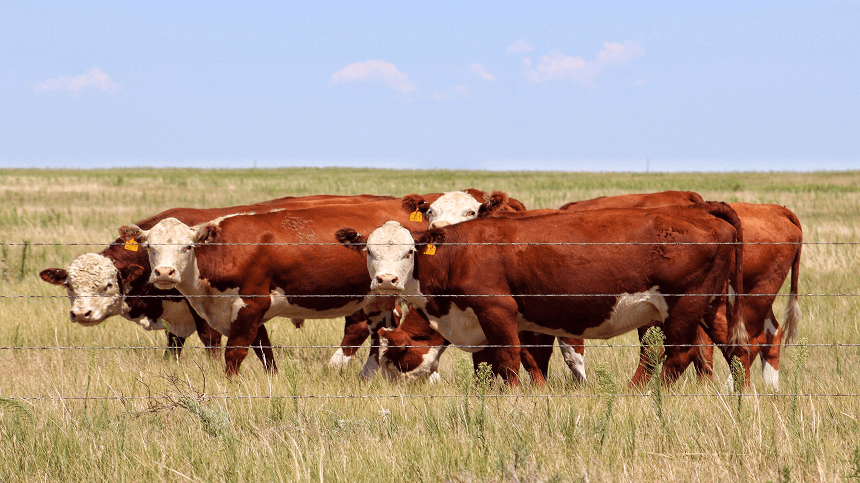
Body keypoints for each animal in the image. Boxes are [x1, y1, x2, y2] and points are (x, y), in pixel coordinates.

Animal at [336, 202, 744, 388]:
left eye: (409, 252)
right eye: (368, 251)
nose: (386, 280)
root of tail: (698, 208)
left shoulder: (496, 309)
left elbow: (508, 360)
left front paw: (515, 398)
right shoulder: (518, 322)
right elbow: (523, 361)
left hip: (684, 305)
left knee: (679, 354)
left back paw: (643, 395)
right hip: (711, 305)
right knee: (732, 346)